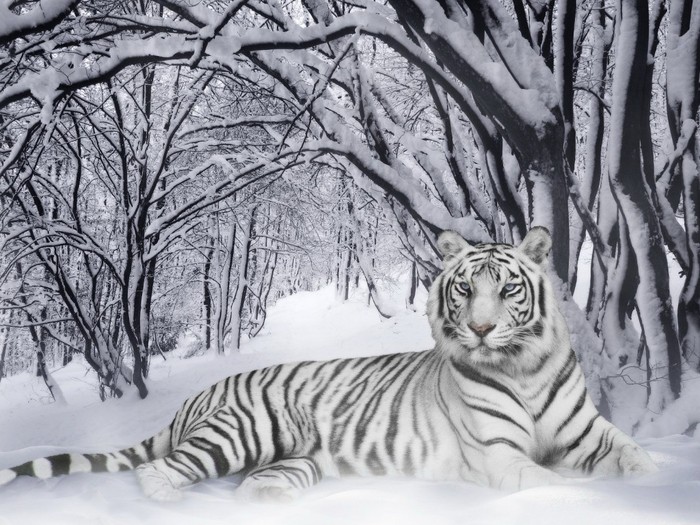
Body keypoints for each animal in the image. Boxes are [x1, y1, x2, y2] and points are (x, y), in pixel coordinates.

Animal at [0, 227, 657, 501]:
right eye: (465, 289)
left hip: (295, 460)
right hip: (242, 432)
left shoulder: (589, 434)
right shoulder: (500, 456)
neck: (523, 367)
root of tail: (199, 395)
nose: (479, 329)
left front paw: (652, 486)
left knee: (254, 484)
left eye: (508, 288)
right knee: (160, 472)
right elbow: (552, 484)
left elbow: (635, 457)